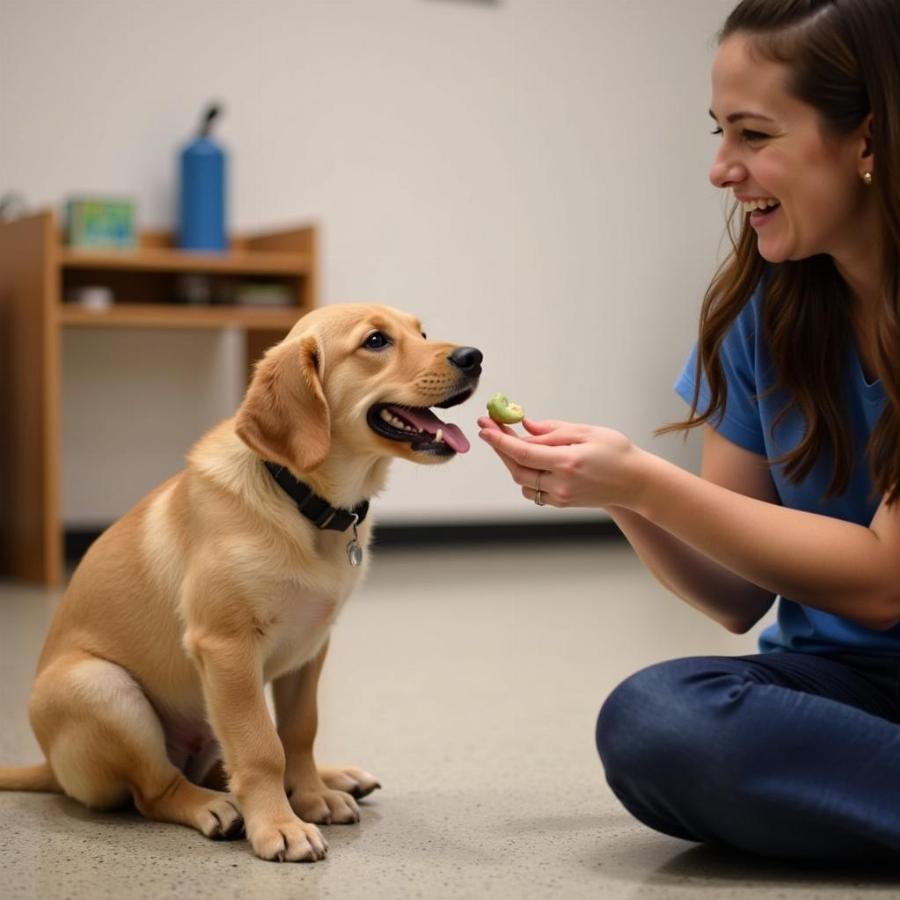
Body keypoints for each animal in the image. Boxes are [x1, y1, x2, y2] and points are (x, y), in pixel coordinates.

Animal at [0, 306, 482, 860]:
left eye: (421, 332)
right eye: (376, 341)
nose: (474, 356)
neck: (301, 499)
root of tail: (50, 768)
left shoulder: (312, 646)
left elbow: (298, 731)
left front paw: (313, 795)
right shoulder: (226, 647)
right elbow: (260, 747)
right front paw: (280, 825)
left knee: (218, 767)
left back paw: (333, 778)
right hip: (101, 688)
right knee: (157, 790)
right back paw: (212, 807)